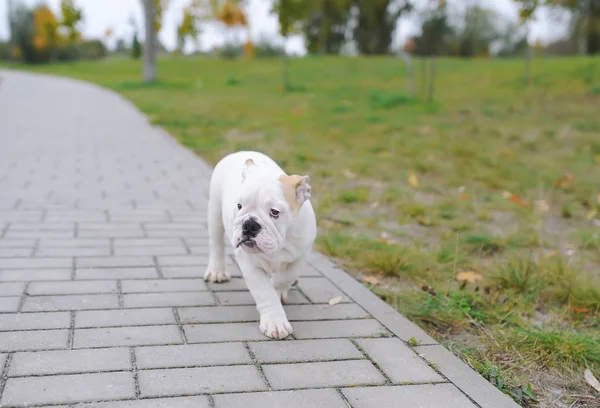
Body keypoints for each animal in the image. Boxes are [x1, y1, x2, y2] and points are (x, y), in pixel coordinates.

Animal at [204, 151, 316, 340]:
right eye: (239, 205)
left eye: (275, 212)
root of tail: (240, 152)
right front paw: (275, 322)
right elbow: (265, 292)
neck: (281, 243)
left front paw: (279, 287)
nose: (249, 224)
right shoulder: (249, 264)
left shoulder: (302, 254)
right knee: (216, 244)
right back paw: (217, 272)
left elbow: (286, 276)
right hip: (215, 213)